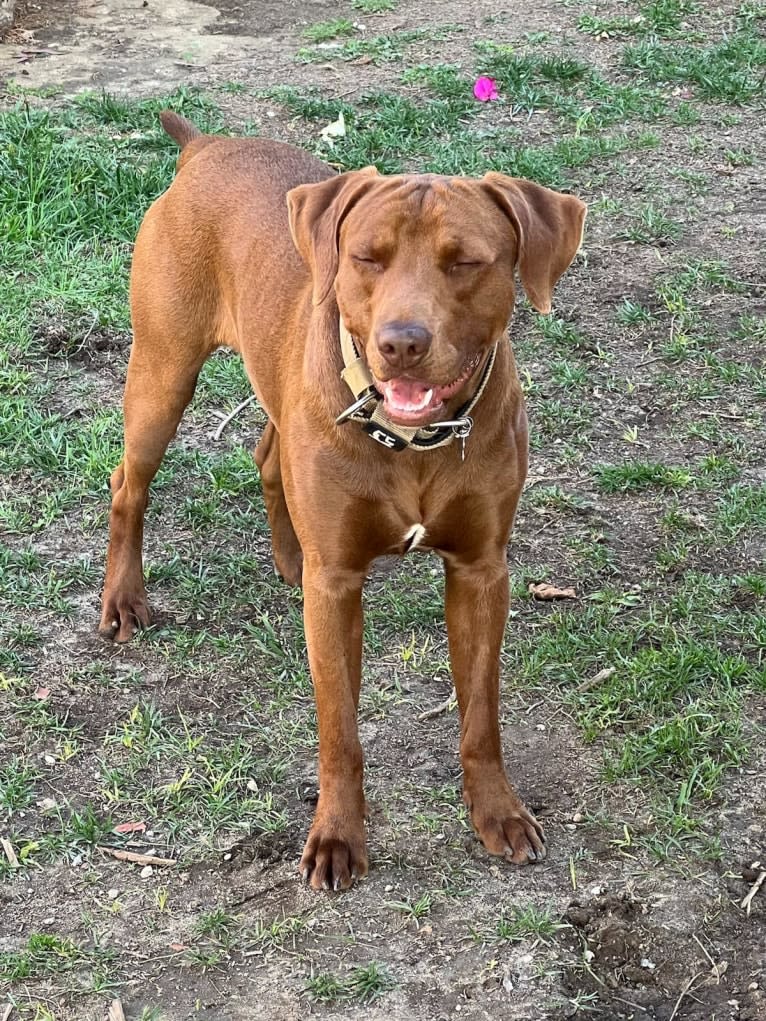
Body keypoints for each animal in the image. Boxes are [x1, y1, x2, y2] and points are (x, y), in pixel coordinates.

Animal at [99, 111, 584, 890]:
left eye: (465, 262)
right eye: (367, 258)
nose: (401, 342)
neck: (411, 441)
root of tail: (205, 146)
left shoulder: (481, 570)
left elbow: (481, 712)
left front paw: (498, 811)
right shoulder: (337, 592)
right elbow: (339, 729)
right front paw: (335, 836)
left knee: (267, 453)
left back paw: (288, 555)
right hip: (162, 370)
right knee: (128, 485)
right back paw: (123, 599)